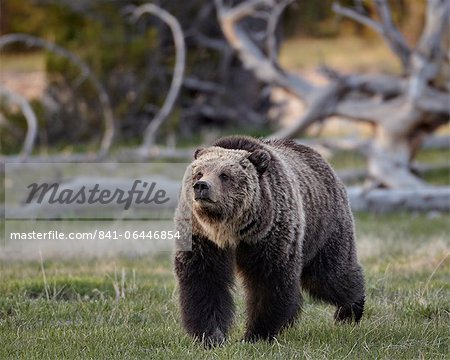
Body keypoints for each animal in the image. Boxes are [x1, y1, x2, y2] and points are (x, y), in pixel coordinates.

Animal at [174, 136, 364, 346]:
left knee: (329, 275)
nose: (201, 186)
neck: (230, 230)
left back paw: (349, 311)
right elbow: (205, 279)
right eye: (199, 172)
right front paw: (211, 336)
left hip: (324, 227)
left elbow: (268, 280)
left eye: (224, 175)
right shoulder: (203, 239)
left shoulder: (269, 234)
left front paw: (256, 335)